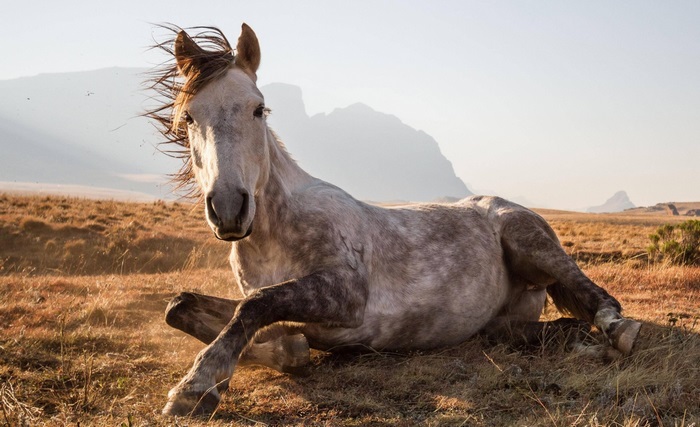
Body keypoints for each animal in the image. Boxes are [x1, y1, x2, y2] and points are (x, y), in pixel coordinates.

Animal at [147, 23, 642, 417]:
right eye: (188, 117)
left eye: (258, 108)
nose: (229, 207)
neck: (274, 233)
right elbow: (183, 305)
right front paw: (284, 350)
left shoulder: (346, 294)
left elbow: (255, 305)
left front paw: (196, 386)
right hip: (501, 321)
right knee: (531, 331)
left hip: (531, 242)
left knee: (598, 297)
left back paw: (617, 330)